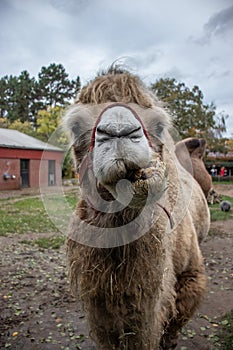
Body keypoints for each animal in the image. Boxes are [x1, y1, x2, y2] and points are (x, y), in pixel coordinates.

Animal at [63, 67, 209, 348]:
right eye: (76, 127)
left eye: (159, 125)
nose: (119, 133)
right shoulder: (100, 302)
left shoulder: (191, 275)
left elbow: (175, 318)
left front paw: (169, 342)